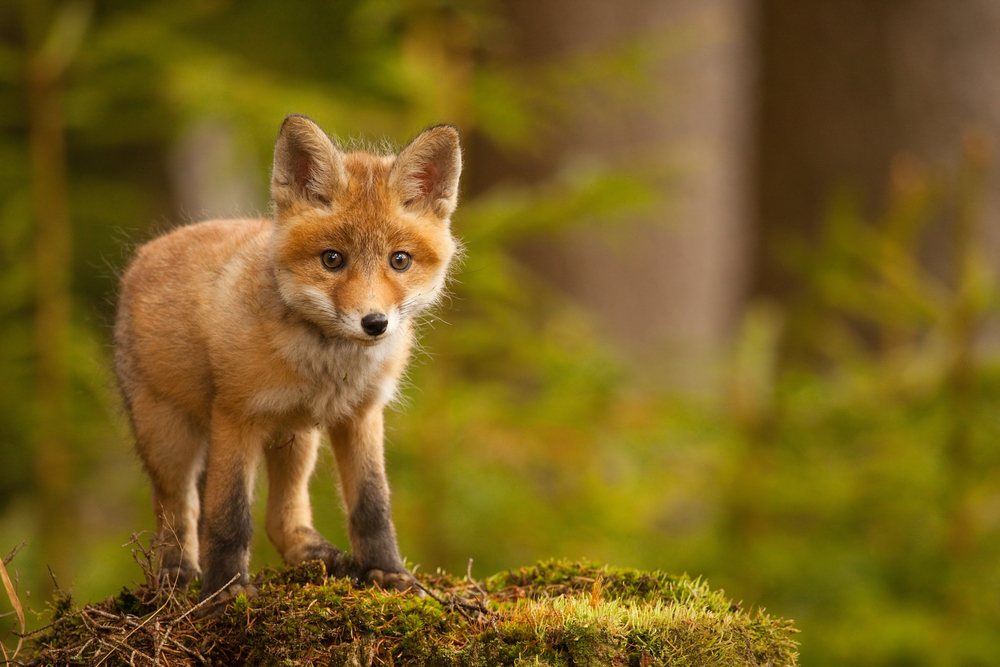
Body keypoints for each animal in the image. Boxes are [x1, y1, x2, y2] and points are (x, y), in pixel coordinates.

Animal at [114, 114, 461, 609]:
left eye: (400, 261)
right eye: (332, 259)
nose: (374, 323)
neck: (329, 367)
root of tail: (144, 254)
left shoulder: (361, 414)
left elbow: (373, 507)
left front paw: (388, 573)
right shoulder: (235, 416)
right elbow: (229, 517)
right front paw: (226, 592)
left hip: (295, 436)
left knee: (282, 516)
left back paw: (315, 555)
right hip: (169, 436)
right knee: (176, 511)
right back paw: (178, 575)